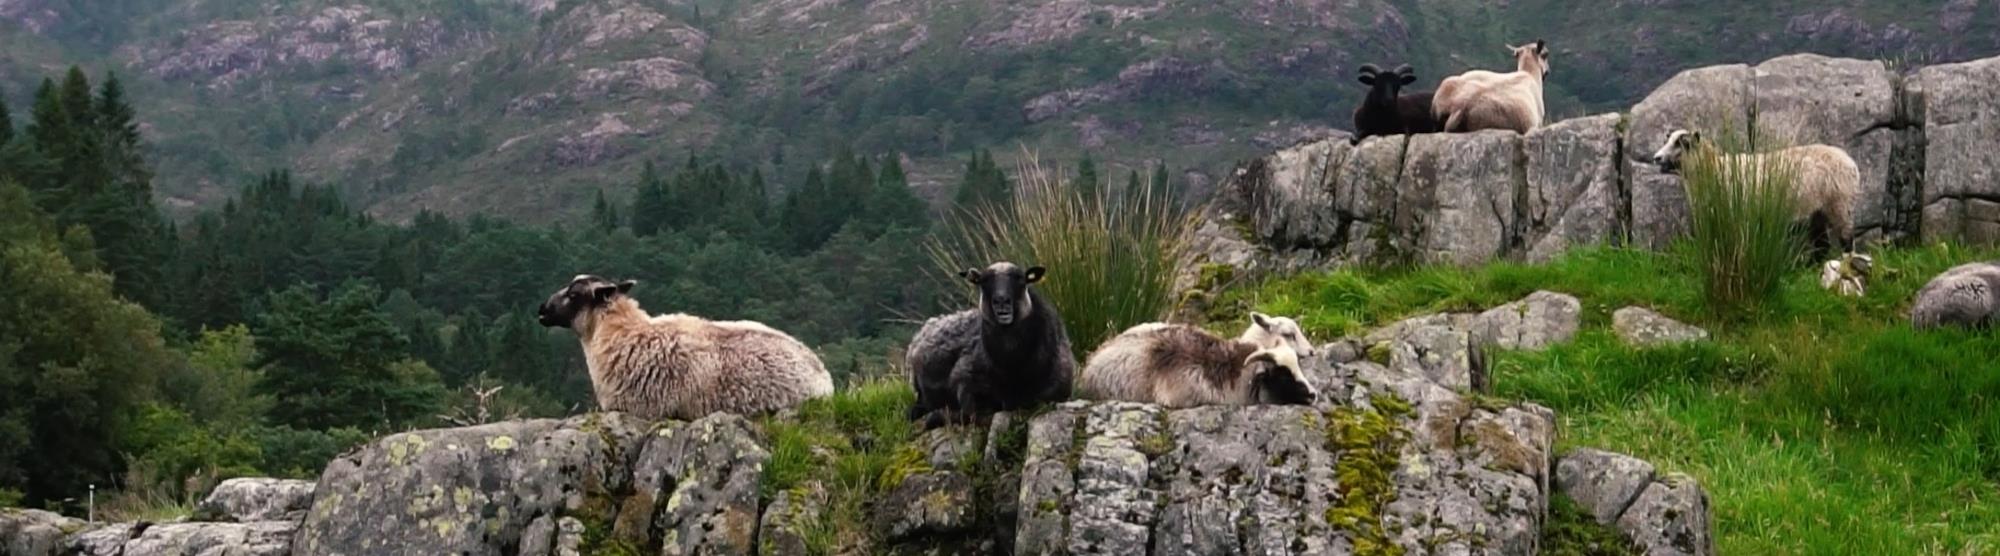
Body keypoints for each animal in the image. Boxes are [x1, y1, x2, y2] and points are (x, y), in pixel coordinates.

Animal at [908, 262, 1080, 430]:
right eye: (983, 281)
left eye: (1020, 279)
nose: (1001, 301)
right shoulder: (964, 378)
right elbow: (970, 413)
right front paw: (935, 417)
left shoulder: (1059, 391)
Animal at [1648, 130, 1864, 258]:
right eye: (1668, 140)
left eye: (1682, 144)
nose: (1656, 158)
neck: (1715, 169)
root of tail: (1851, 162)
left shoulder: (1737, 213)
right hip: (1817, 210)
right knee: (1822, 243)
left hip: (1840, 203)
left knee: (1846, 239)